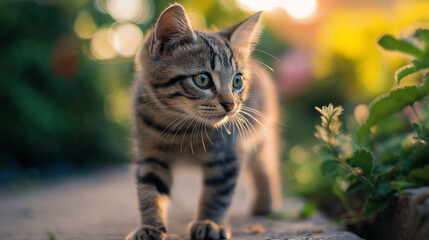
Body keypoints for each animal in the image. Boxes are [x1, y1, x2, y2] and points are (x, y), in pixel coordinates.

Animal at [127, 4, 280, 240]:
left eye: (237, 81)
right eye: (202, 79)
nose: (230, 105)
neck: (181, 127)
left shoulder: (227, 154)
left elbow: (218, 193)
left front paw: (210, 223)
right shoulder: (150, 154)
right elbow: (149, 189)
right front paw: (150, 226)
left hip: (260, 136)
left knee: (264, 167)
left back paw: (266, 202)